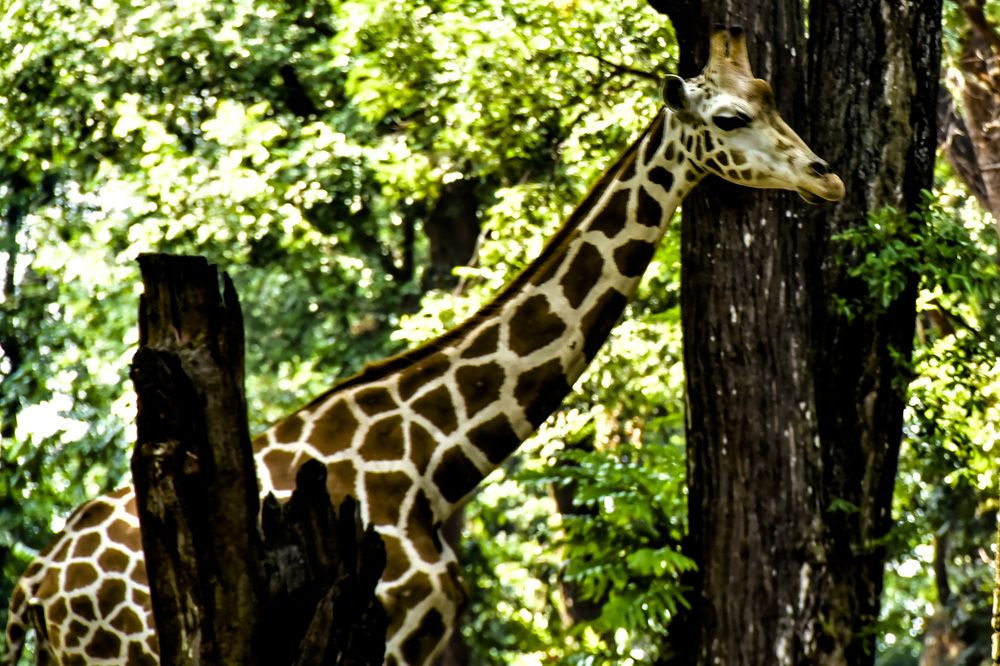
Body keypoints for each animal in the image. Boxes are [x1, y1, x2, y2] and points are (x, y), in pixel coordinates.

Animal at [3, 27, 844, 666]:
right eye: (730, 119)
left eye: (771, 99)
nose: (826, 179)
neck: (434, 467)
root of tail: (33, 586)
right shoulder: (391, 626)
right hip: (120, 655)